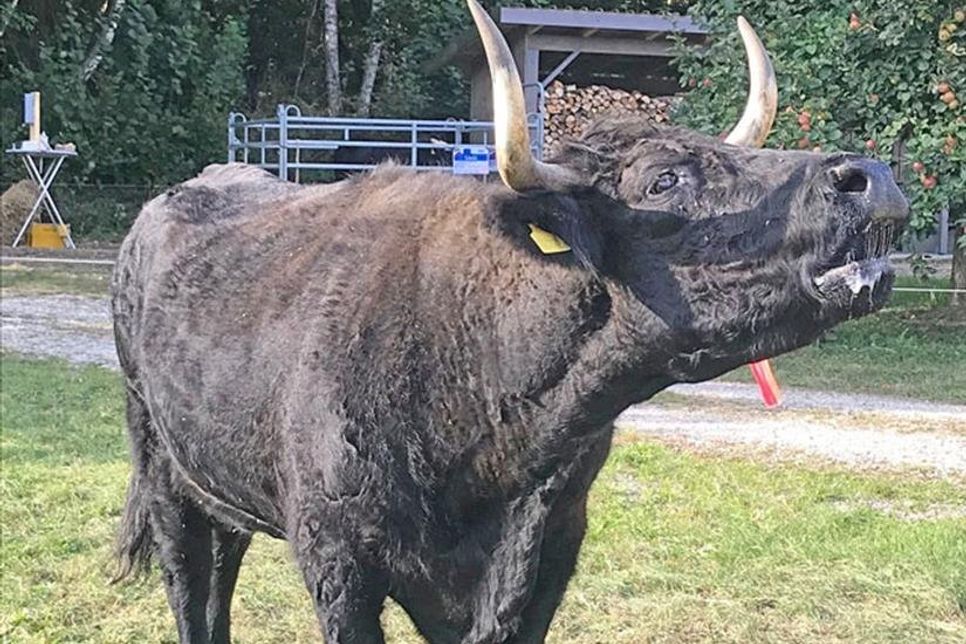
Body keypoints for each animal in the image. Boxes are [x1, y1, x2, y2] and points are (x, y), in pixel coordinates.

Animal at [110, 1, 908, 642]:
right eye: (664, 179)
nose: (870, 178)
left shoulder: (547, 555)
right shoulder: (337, 558)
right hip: (164, 473)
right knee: (194, 593)